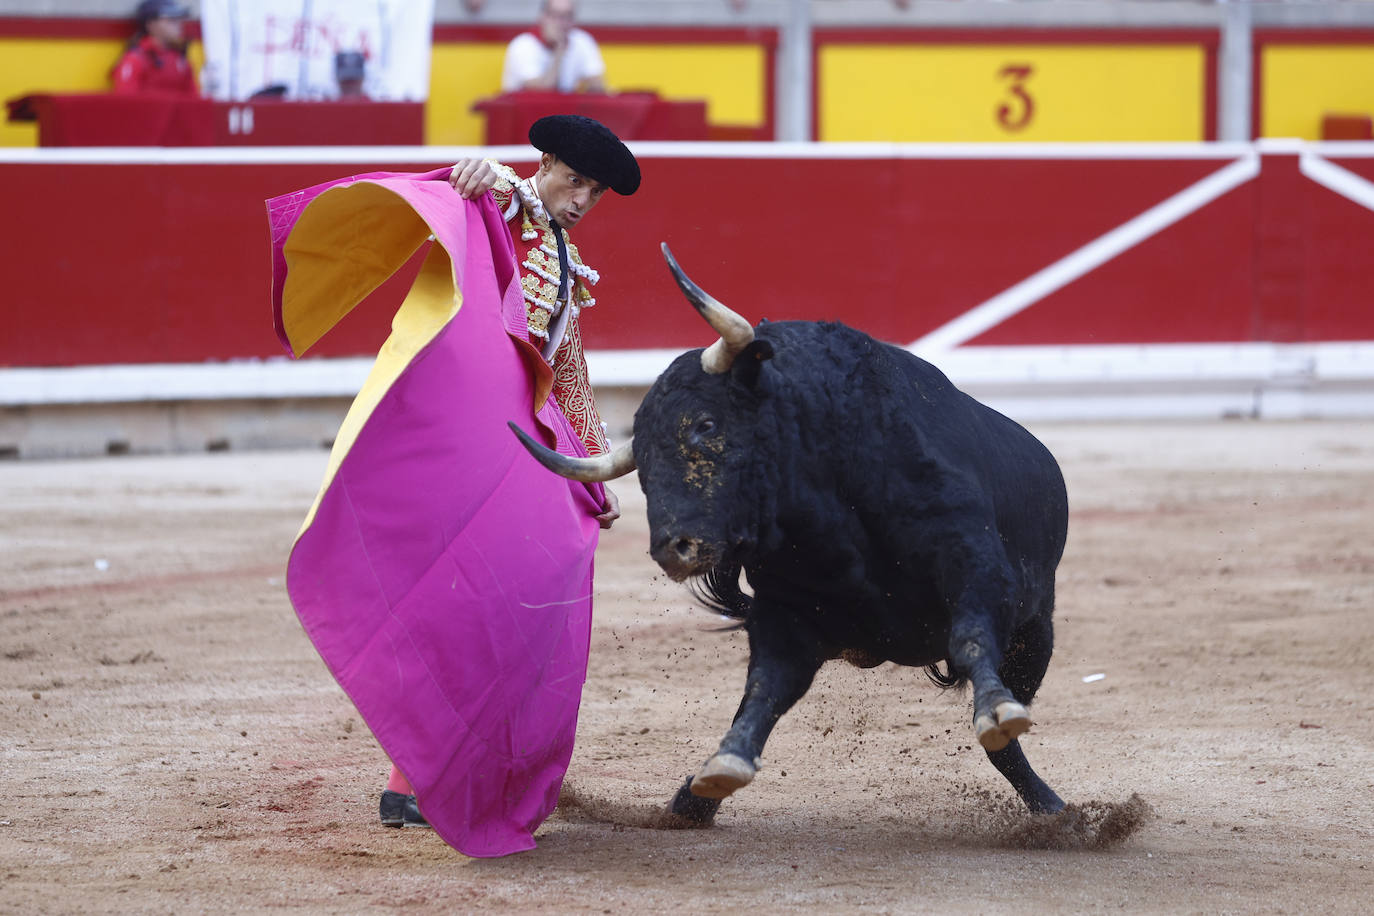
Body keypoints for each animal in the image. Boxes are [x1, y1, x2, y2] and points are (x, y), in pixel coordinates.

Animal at [516, 245, 1071, 823]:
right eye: (641, 464)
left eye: (706, 426)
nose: (673, 549)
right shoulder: (787, 611)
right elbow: (767, 686)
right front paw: (715, 774)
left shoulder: (976, 568)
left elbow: (970, 638)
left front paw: (998, 710)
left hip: (1037, 628)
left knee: (1006, 726)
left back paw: (1053, 808)